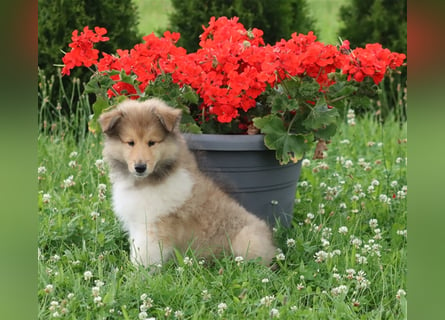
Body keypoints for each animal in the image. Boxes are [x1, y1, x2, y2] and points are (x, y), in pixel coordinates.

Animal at [99, 99, 276, 266]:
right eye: (130, 142)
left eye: (152, 142)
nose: (140, 167)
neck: (147, 181)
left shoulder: (154, 226)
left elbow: (145, 255)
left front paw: (137, 273)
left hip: (246, 240)